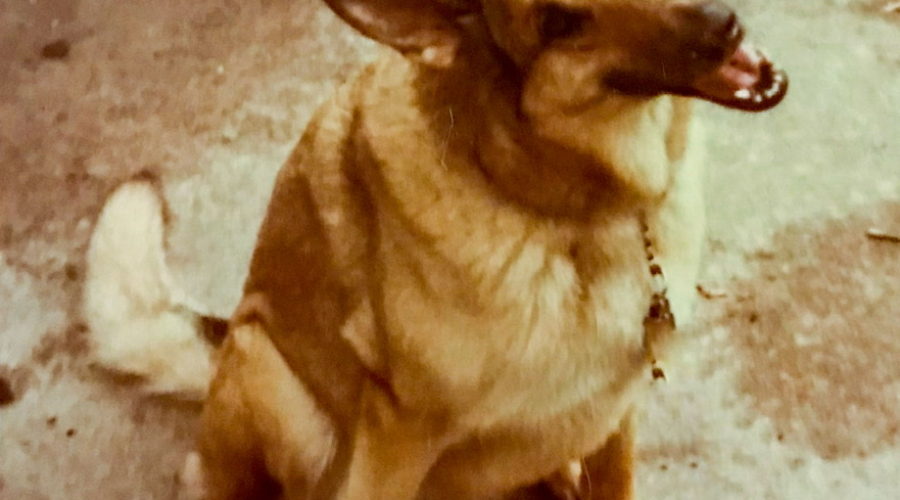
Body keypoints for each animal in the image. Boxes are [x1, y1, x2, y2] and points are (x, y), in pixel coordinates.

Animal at [84, 0, 788, 496]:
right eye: (559, 21)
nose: (721, 26)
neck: (576, 214)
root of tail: (225, 333)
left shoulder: (618, 415)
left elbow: (615, 480)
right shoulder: (398, 431)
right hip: (275, 381)